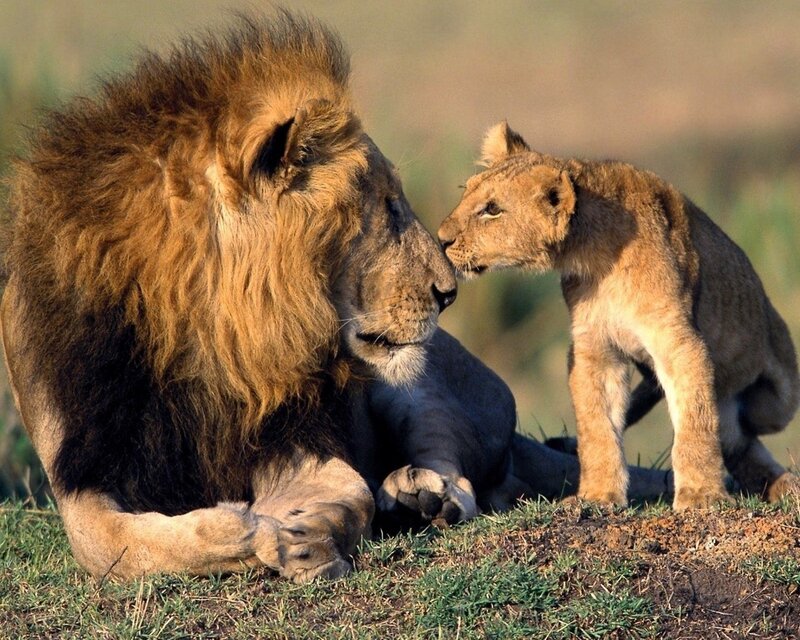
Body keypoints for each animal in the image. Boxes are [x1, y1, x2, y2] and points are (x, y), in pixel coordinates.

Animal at [437, 121, 800, 511]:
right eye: (466, 193)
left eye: (492, 210)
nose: (440, 239)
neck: (596, 256)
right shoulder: (594, 348)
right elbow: (598, 427)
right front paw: (598, 495)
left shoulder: (679, 342)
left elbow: (695, 422)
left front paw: (701, 495)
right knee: (736, 442)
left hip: (776, 401)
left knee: (744, 431)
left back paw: (784, 484)